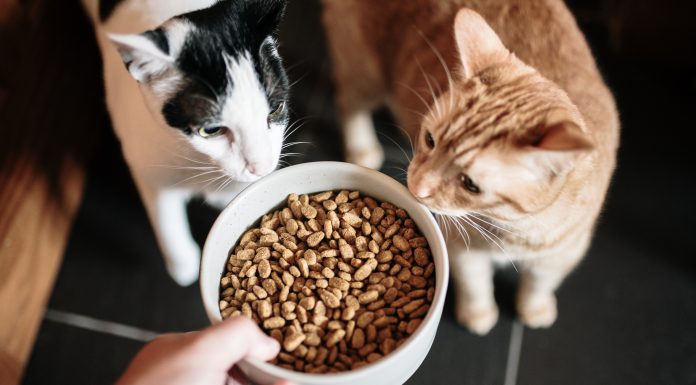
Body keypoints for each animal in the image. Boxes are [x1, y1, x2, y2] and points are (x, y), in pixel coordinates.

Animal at [83, 0, 290, 284]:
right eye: (211, 130)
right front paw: (183, 265)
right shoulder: (147, 165)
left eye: (276, 109)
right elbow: (165, 219)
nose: (261, 167)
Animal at [322, 0, 620, 332]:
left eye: (470, 184)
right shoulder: (460, 246)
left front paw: (534, 309)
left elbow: (540, 284)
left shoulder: (563, 253)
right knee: (348, 101)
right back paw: (361, 148)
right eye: (429, 139)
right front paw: (478, 315)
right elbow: (475, 282)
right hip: (364, 70)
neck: (511, 229)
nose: (415, 187)